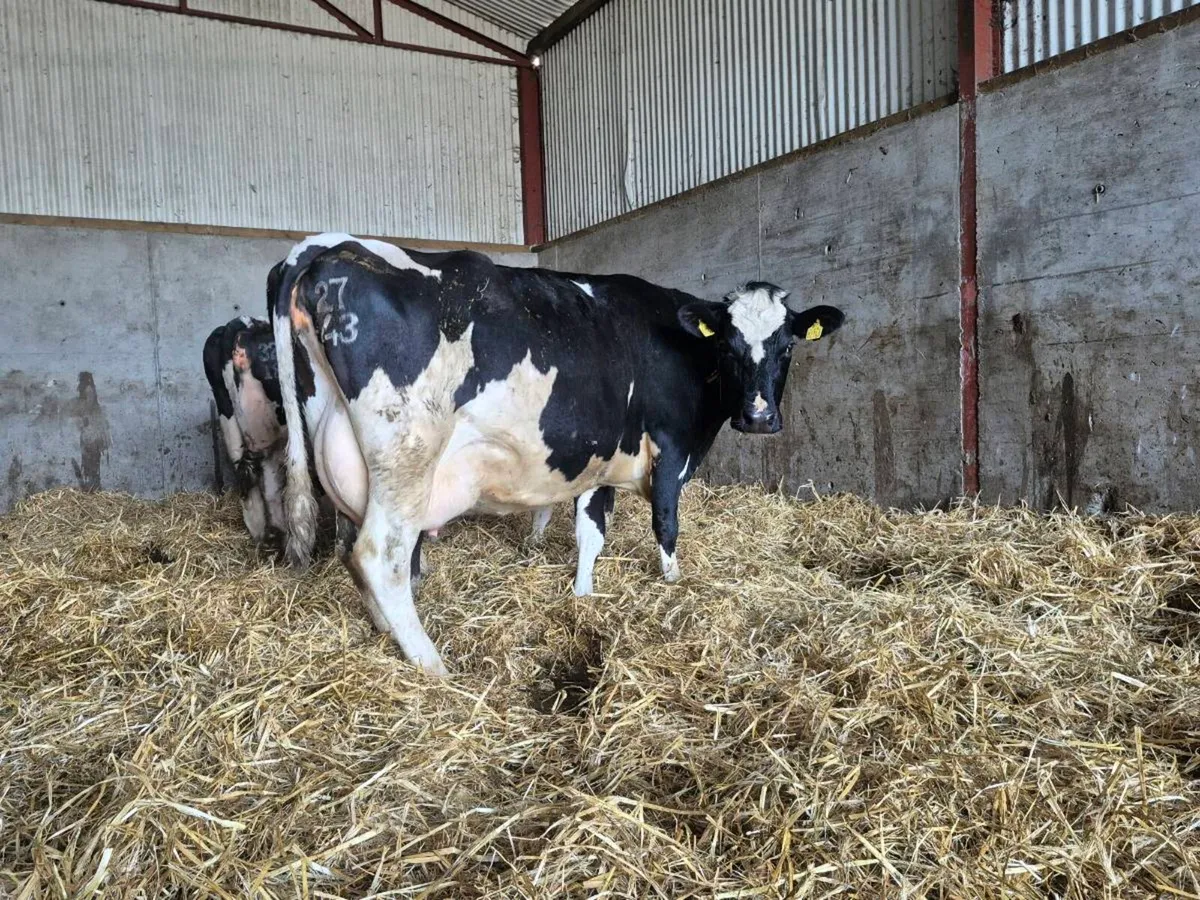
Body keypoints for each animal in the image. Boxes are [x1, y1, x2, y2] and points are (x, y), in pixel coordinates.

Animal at [272, 235, 844, 674]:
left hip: (346, 454)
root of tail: (331, 252)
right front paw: (673, 583)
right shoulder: (670, 448)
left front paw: (583, 597)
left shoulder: (600, 459)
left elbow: (591, 533)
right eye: (726, 345)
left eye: (788, 346)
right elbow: (666, 524)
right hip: (406, 453)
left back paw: (383, 629)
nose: (759, 417)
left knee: (350, 550)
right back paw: (432, 664)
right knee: (379, 556)